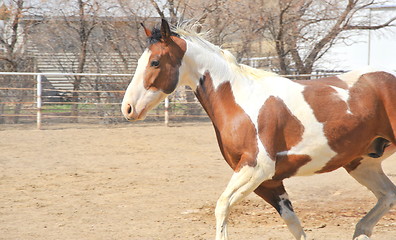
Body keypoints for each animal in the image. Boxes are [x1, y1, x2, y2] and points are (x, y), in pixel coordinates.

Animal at [120, 19, 396, 240]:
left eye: (155, 62)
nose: (128, 108)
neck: (241, 101)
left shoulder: (255, 169)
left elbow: (222, 206)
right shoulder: (269, 183)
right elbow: (294, 225)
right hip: (361, 163)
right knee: (388, 195)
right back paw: (361, 231)